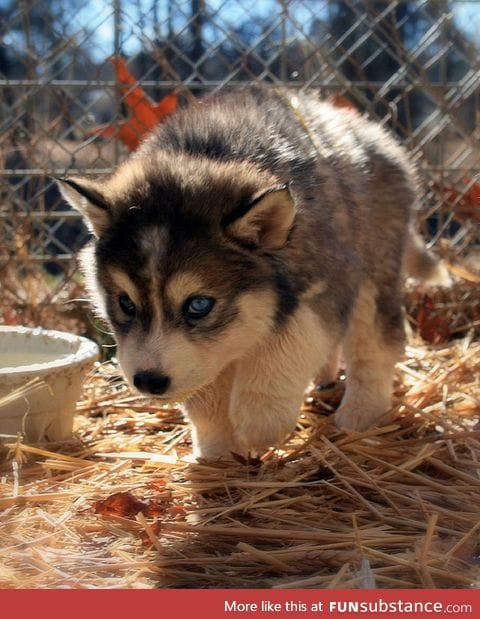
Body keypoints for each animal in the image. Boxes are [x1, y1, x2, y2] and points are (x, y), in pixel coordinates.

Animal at [58, 86, 448, 460]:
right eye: (126, 303)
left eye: (198, 305)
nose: (148, 381)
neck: (209, 154)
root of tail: (371, 130)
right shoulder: (205, 354)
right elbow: (206, 392)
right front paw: (217, 450)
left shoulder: (326, 283)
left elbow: (286, 346)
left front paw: (260, 421)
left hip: (373, 269)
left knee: (376, 342)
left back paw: (361, 413)